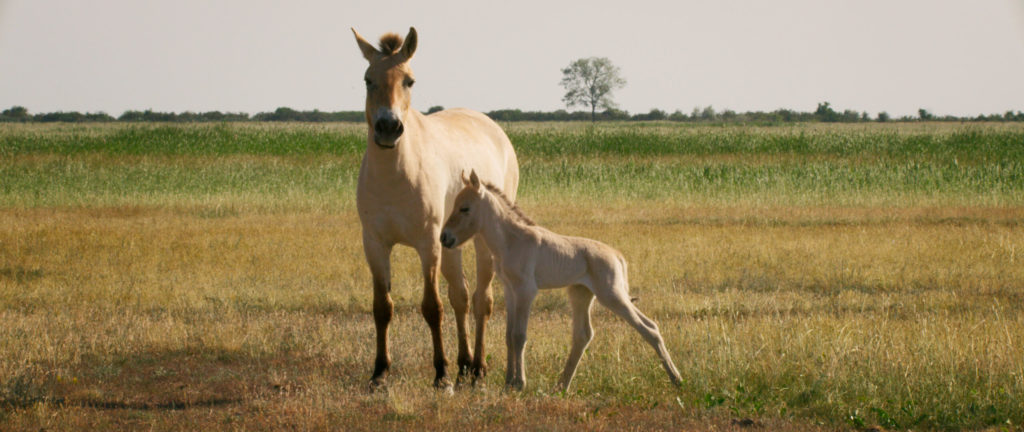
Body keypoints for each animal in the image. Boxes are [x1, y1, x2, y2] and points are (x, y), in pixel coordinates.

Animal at [352, 27, 520, 389]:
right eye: (368, 80)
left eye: (409, 81)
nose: (388, 128)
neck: (395, 174)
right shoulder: (375, 243)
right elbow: (382, 307)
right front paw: (379, 372)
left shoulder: (427, 243)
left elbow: (432, 307)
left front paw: (441, 375)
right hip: (451, 244)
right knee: (461, 296)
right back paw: (465, 363)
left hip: (481, 243)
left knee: (482, 300)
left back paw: (478, 368)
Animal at [438, 169, 684, 391]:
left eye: (465, 208)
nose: (445, 238)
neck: (511, 240)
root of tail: (617, 255)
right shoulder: (510, 291)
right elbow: (509, 336)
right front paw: (508, 382)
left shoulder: (526, 291)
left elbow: (519, 336)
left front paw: (519, 383)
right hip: (581, 294)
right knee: (583, 335)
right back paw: (561, 385)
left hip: (612, 295)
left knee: (649, 328)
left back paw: (677, 379)